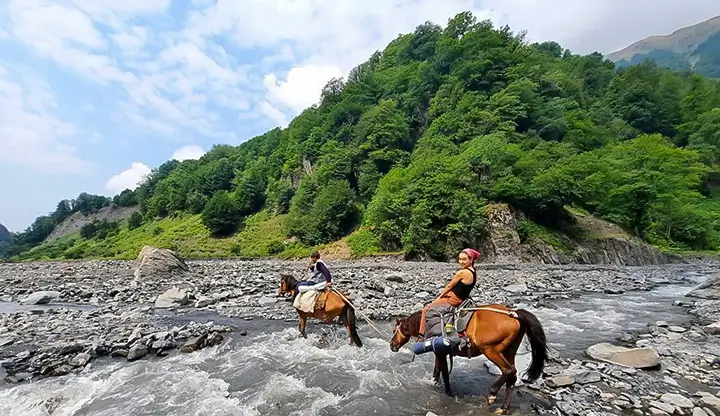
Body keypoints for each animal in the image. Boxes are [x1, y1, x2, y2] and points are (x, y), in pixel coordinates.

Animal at [390, 304, 548, 414]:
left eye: (394, 330)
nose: (392, 345)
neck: (426, 323)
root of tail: (514, 314)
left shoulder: (440, 352)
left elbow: (444, 373)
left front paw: (449, 393)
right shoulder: (440, 352)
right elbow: (437, 371)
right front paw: (434, 383)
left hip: (491, 350)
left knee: (509, 371)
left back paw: (492, 394)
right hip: (509, 352)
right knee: (512, 377)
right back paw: (503, 408)